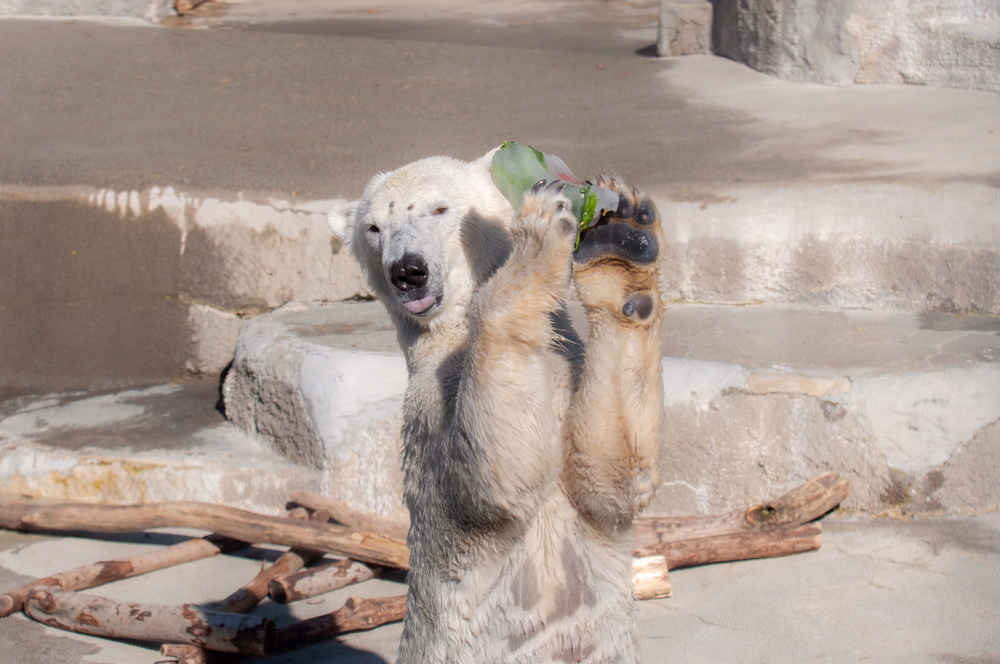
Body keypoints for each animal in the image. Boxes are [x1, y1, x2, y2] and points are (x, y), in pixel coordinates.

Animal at [328, 150, 668, 664]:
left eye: (439, 209)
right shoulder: (430, 407)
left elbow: (609, 476)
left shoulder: (570, 378)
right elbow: (494, 477)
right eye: (373, 227)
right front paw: (543, 227)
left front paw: (622, 243)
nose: (407, 271)